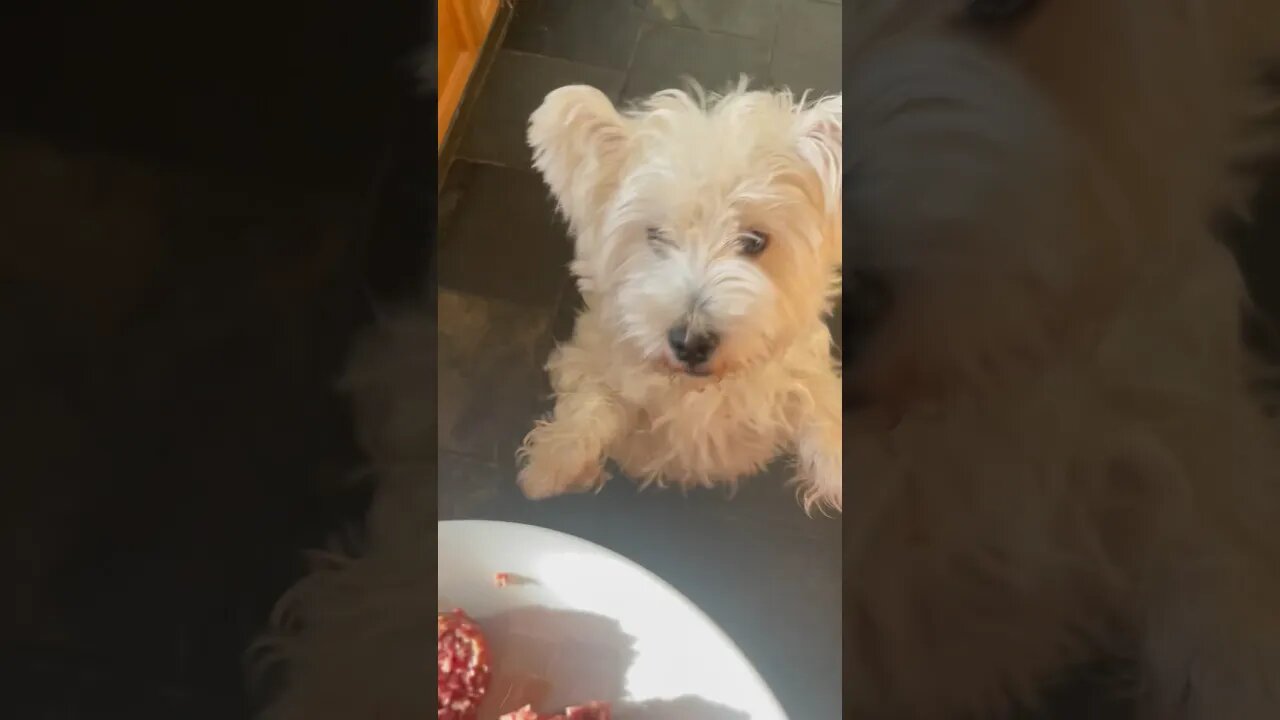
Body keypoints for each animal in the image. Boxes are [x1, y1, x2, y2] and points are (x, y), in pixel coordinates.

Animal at [514, 79, 844, 509]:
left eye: (755, 241)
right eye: (655, 235)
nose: (690, 343)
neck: (696, 390)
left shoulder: (801, 369)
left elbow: (822, 410)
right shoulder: (594, 353)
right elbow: (591, 403)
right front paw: (552, 464)